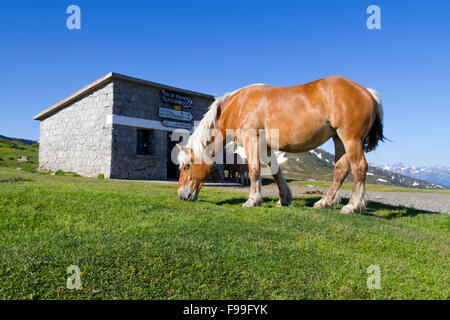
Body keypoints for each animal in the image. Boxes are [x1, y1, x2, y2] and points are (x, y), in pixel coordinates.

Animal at [176, 76, 384, 214]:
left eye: (186, 166)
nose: (181, 195)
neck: (238, 105)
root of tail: (368, 92)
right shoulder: (266, 147)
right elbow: (275, 171)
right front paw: (284, 199)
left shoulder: (252, 140)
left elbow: (254, 170)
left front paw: (253, 201)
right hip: (338, 139)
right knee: (341, 169)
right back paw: (324, 202)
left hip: (350, 139)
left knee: (359, 167)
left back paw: (353, 206)